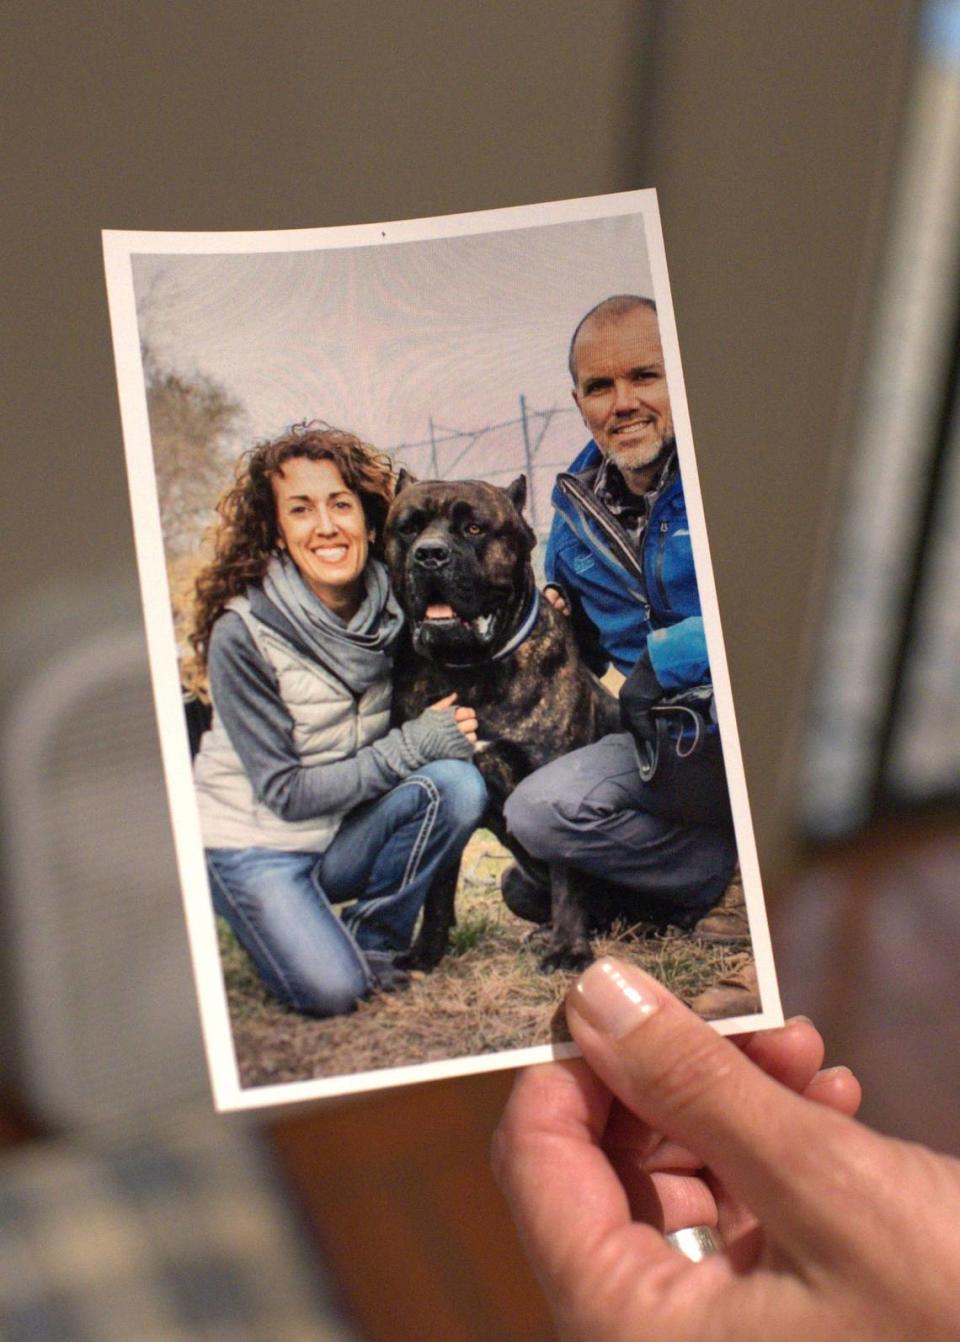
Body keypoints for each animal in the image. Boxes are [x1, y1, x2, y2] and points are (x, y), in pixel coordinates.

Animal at [384, 467, 622, 971]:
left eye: (474, 528)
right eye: (408, 528)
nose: (429, 554)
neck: (470, 669)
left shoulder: (551, 788)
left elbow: (567, 877)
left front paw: (569, 953)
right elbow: (437, 889)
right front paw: (426, 952)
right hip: (513, 881)